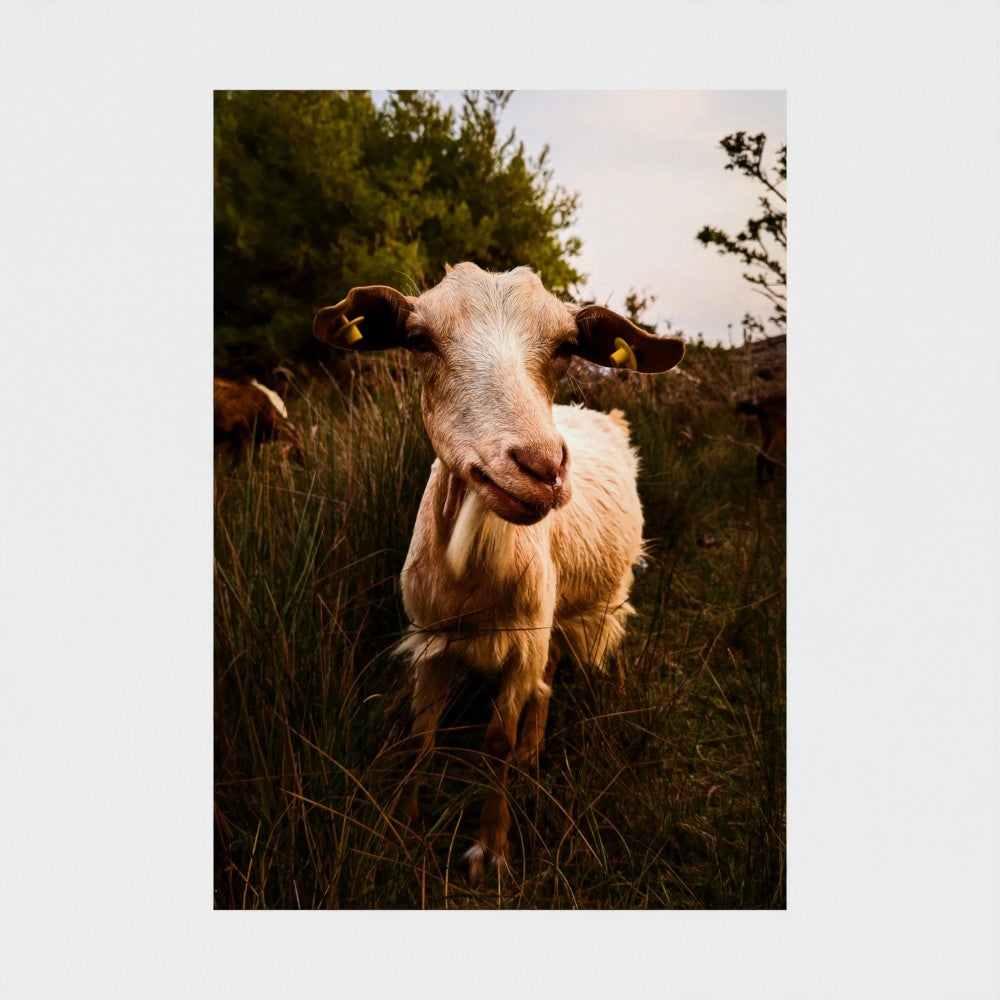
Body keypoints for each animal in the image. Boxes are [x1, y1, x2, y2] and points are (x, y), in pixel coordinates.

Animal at [314, 263, 684, 883]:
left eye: (565, 347)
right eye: (419, 340)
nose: (541, 467)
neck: (473, 583)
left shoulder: (523, 641)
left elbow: (497, 742)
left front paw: (489, 849)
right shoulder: (431, 639)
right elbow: (418, 738)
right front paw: (400, 826)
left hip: (588, 605)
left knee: (562, 668)